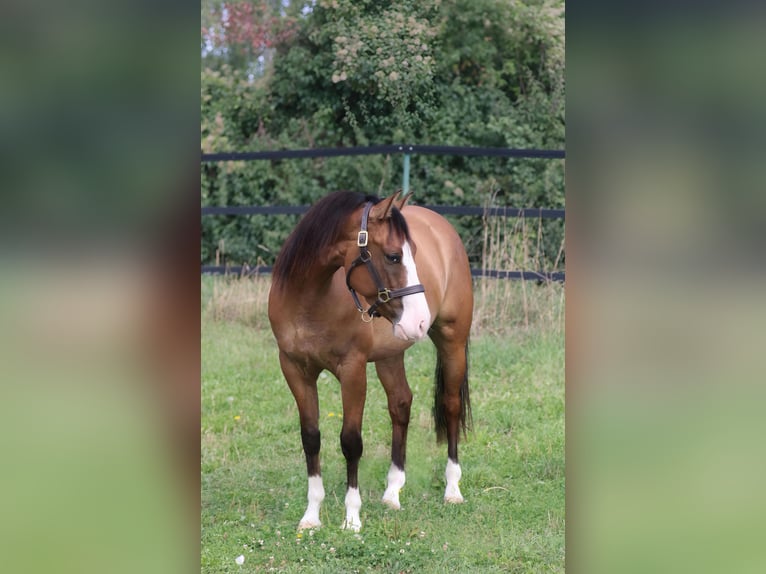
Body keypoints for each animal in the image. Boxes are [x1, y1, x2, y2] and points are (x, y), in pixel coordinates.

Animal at [267, 190, 473, 531]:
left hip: (451, 341)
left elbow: (351, 441)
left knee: (451, 405)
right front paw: (311, 516)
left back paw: (453, 489)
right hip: (391, 353)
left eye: (414, 253)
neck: (311, 299)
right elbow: (311, 438)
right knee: (401, 404)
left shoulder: (352, 370)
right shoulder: (295, 369)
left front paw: (352, 518)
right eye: (393, 256)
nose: (419, 321)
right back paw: (393, 492)